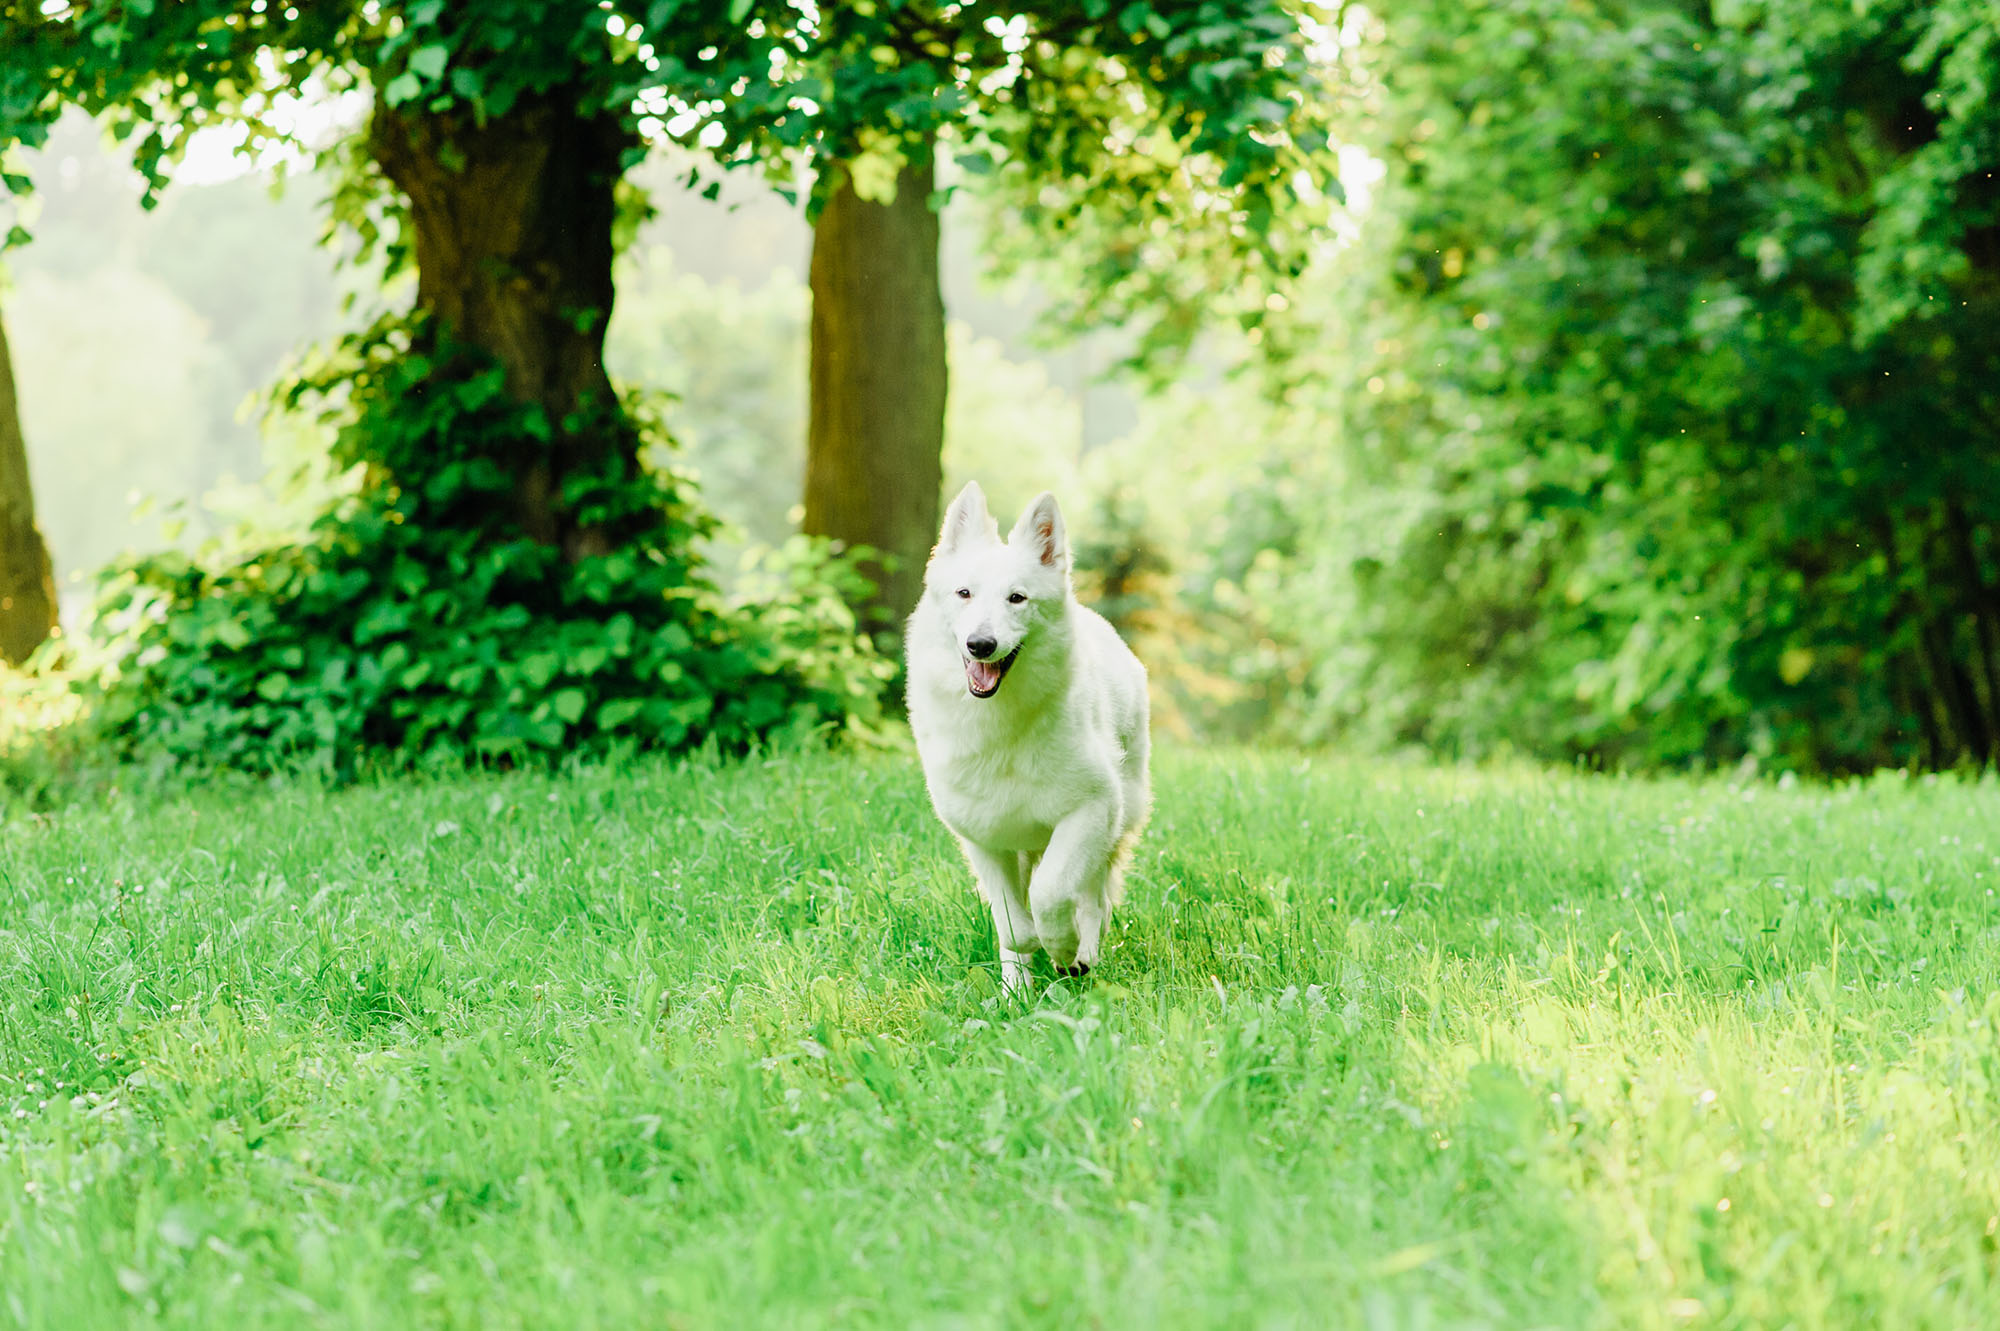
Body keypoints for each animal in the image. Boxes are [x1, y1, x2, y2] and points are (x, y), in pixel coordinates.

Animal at [912, 481, 1160, 991]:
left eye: (1017, 598)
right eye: (964, 593)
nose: (980, 645)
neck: (1002, 724)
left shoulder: (1090, 812)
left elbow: (1050, 895)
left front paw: (1064, 949)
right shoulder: (984, 838)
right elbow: (1012, 924)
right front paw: (1023, 972)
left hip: (1116, 821)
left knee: (1093, 899)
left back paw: (1083, 953)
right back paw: (1017, 988)